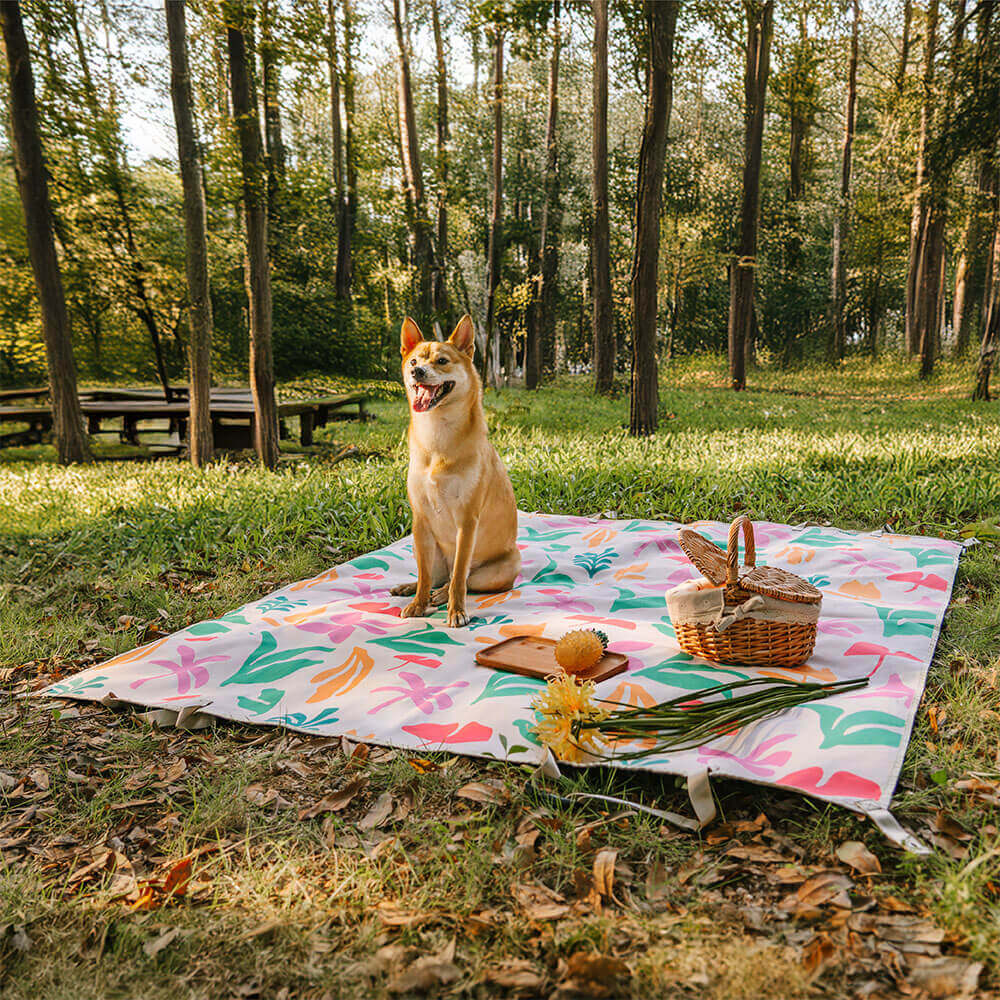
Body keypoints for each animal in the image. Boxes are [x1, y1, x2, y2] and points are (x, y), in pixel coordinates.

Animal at [386, 312, 520, 624]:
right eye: (413, 361)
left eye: (442, 361)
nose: (417, 372)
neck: (437, 435)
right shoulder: (421, 521)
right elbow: (424, 575)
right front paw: (418, 603)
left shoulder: (467, 521)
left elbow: (460, 576)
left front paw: (456, 611)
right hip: (424, 548)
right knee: (434, 577)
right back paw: (414, 589)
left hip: (497, 571)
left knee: (462, 579)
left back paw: (442, 596)